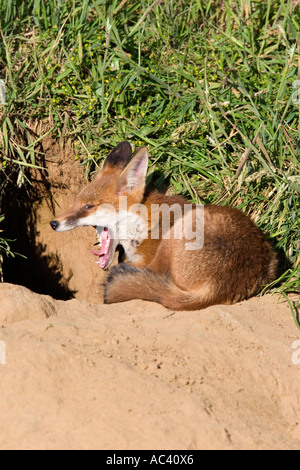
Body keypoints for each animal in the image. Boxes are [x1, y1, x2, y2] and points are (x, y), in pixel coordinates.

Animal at [50, 142, 278, 312]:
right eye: (75, 202)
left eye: (88, 207)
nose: (53, 223)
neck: (143, 223)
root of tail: (220, 286)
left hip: (176, 236)